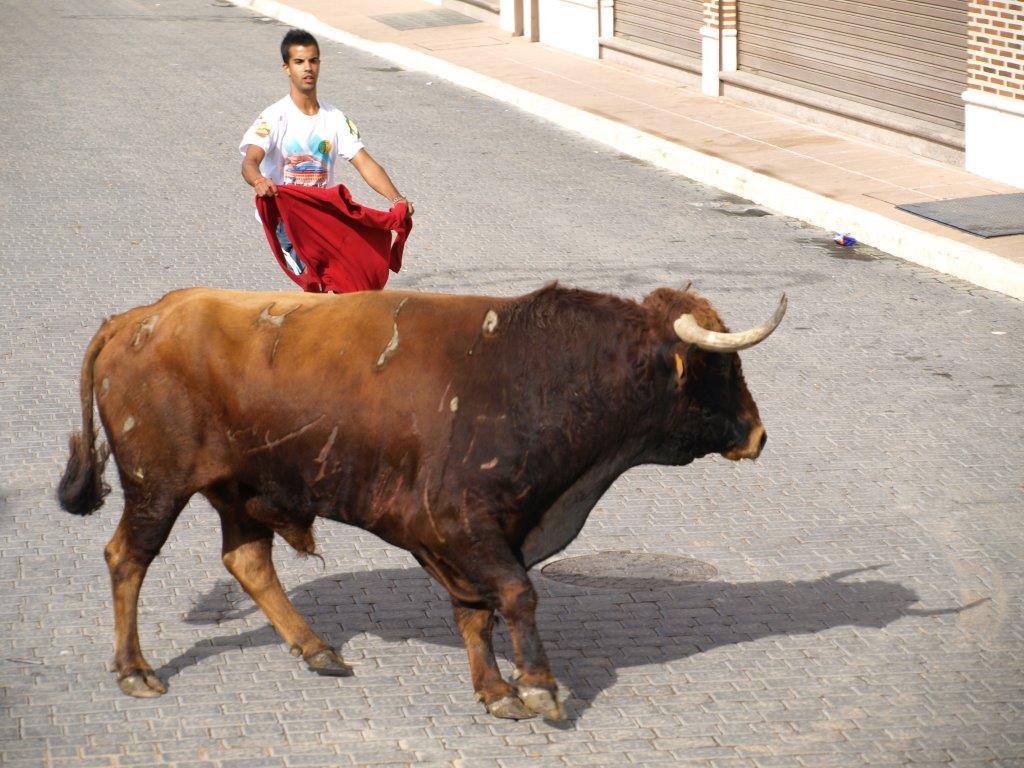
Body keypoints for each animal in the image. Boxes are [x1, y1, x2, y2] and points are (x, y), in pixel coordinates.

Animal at [58, 282, 782, 720]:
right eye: (721, 365)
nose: (758, 434)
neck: (541, 375)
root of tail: (138, 318)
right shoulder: (464, 526)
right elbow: (516, 595)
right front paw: (538, 687)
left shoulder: (471, 538)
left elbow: (476, 611)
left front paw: (494, 689)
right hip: (157, 485)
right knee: (128, 558)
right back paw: (135, 669)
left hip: (240, 489)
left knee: (247, 560)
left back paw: (317, 649)